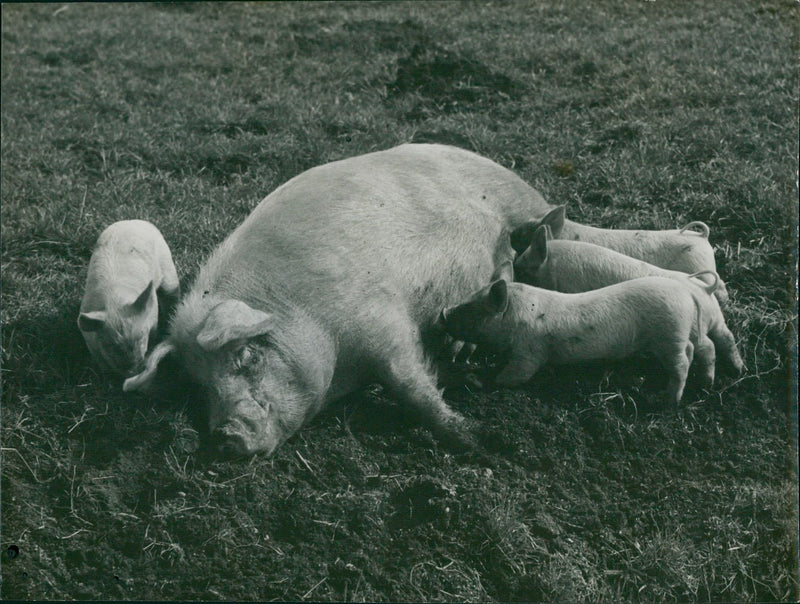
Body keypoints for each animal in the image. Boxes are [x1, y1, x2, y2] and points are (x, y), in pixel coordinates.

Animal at [78, 219, 180, 376]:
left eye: (141, 337)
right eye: (110, 345)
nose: (132, 371)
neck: (115, 303)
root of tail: (132, 221)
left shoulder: (152, 318)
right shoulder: (90, 341)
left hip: (167, 264)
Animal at [122, 144, 553, 457]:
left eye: (247, 355)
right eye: (200, 384)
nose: (225, 437)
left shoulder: (382, 319)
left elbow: (412, 386)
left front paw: (480, 441)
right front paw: (471, 381)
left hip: (520, 201)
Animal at [439, 276, 739, 406]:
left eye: (471, 307)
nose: (442, 313)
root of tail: (687, 293)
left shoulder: (530, 351)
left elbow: (516, 375)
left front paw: (486, 380)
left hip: (669, 334)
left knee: (683, 362)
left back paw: (667, 400)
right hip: (682, 332)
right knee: (706, 347)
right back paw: (714, 382)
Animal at [514, 225, 745, 379]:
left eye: (524, 266)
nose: (514, 268)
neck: (551, 265)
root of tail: (705, 290)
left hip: (695, 328)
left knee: (707, 347)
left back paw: (708, 382)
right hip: (716, 321)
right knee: (726, 337)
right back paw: (739, 369)